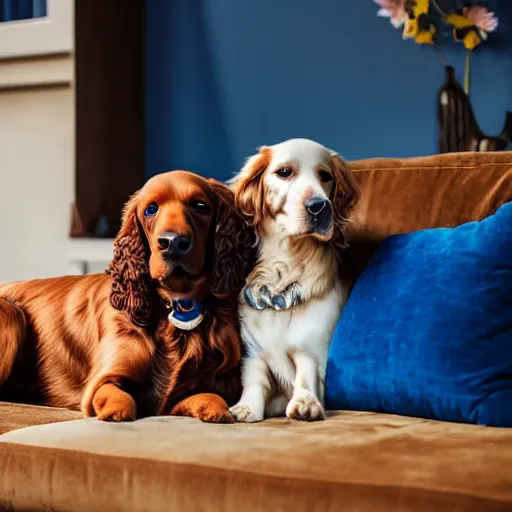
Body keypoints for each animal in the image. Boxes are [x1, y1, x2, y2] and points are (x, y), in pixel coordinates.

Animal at [0, 170, 255, 422]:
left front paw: (217, 411)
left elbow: (209, 396)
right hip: (12, 314)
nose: (172, 243)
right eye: (151, 209)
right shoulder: (104, 379)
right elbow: (120, 397)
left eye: (200, 206)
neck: (177, 305)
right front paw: (116, 412)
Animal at [230, 138, 358, 422]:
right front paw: (245, 407)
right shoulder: (252, 353)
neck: (285, 264)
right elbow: (253, 380)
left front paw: (306, 403)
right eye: (284, 172)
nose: (319, 206)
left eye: (325, 176)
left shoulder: (312, 350)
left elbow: (306, 374)